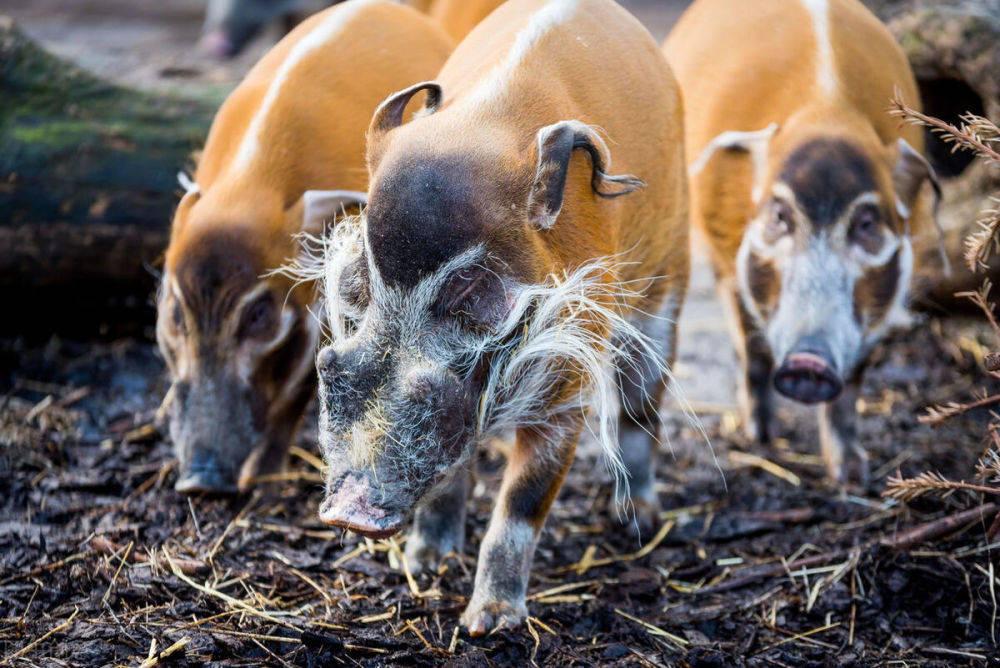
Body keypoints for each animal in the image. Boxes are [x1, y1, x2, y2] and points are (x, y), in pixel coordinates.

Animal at [157, 0, 454, 490]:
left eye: (258, 315)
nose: (200, 479)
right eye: (176, 314)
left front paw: (262, 478)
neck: (250, 183)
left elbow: (306, 380)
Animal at [668, 0, 940, 482]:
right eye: (780, 216)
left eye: (866, 223)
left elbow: (853, 381)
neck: (827, 117)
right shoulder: (728, 259)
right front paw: (761, 438)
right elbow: (752, 345)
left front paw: (852, 475)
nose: (808, 362)